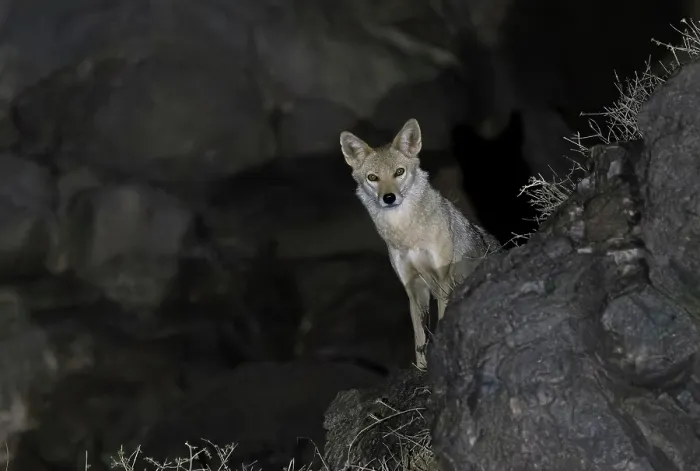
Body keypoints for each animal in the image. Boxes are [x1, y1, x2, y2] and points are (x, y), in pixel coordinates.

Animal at [339, 118, 500, 369]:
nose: (389, 198)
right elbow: (419, 336)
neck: (407, 234)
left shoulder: (443, 280)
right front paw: (423, 368)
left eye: (399, 172)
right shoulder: (413, 288)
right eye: (373, 178)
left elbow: (441, 319)